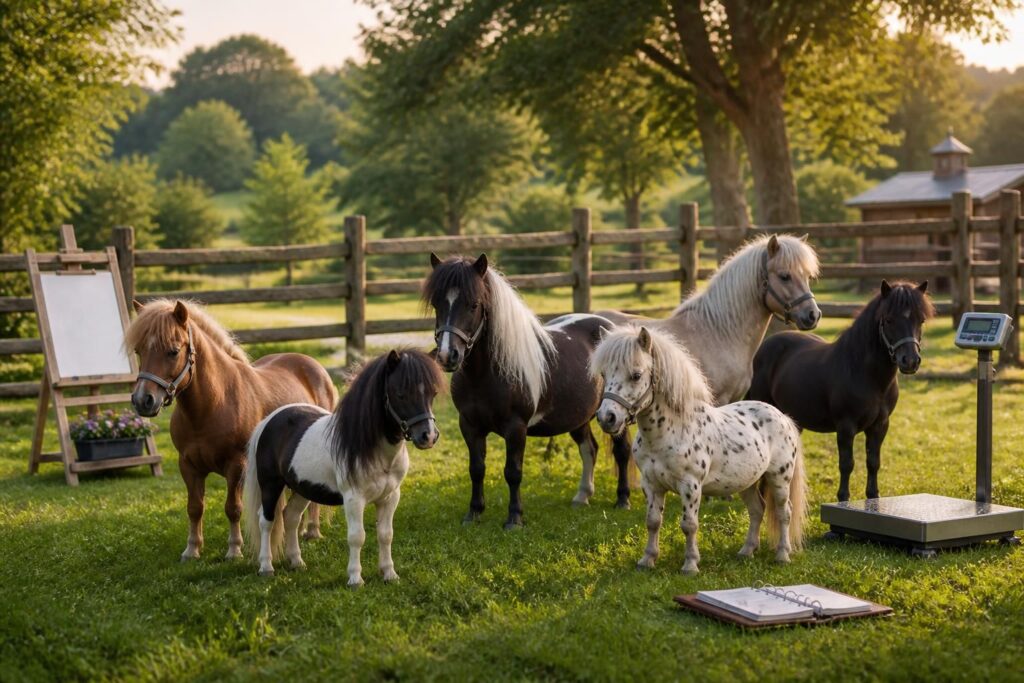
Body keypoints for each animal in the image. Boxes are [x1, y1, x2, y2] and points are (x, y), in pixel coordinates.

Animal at [125, 299, 337, 561]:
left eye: (173, 351)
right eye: (139, 351)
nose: (143, 400)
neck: (212, 405)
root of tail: (314, 366)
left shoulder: (236, 466)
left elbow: (233, 508)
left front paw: (234, 549)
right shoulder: (188, 466)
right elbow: (194, 508)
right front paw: (192, 549)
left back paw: (312, 531)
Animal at [242, 349, 444, 584]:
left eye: (432, 393)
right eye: (401, 393)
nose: (428, 436)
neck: (375, 453)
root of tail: (269, 421)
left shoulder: (389, 498)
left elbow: (386, 535)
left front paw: (389, 574)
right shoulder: (354, 499)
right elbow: (357, 537)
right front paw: (355, 579)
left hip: (302, 489)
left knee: (290, 517)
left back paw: (297, 562)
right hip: (270, 485)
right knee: (266, 521)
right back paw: (266, 567)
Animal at [424, 253, 634, 527]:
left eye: (474, 304)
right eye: (437, 303)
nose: (448, 356)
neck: (485, 375)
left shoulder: (516, 428)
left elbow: (513, 472)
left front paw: (514, 518)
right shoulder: (469, 425)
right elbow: (476, 469)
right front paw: (474, 513)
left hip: (615, 416)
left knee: (622, 452)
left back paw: (623, 500)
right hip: (579, 417)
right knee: (589, 448)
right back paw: (582, 496)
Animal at [590, 326, 807, 575]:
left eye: (636, 375)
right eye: (604, 375)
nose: (607, 418)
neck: (668, 433)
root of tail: (783, 417)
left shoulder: (690, 485)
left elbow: (689, 525)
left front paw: (690, 564)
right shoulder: (651, 485)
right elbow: (653, 522)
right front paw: (647, 560)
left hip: (779, 478)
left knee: (784, 512)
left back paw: (782, 554)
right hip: (747, 482)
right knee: (757, 510)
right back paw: (746, 551)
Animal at [748, 280, 933, 503]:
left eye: (921, 320)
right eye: (888, 320)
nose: (910, 361)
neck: (867, 375)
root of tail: (765, 346)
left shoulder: (880, 425)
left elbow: (873, 462)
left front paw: (873, 496)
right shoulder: (846, 426)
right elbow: (847, 464)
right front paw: (843, 498)